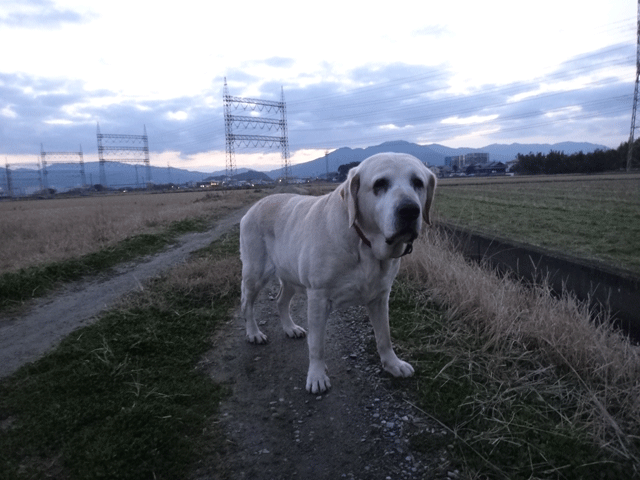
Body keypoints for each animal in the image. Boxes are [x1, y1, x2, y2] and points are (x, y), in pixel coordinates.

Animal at [240, 153, 436, 394]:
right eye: (380, 184)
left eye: (418, 183)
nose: (409, 210)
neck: (365, 245)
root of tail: (255, 206)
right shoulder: (318, 297)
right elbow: (317, 344)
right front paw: (316, 376)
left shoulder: (380, 297)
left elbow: (384, 336)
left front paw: (393, 364)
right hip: (255, 273)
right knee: (246, 304)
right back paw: (253, 333)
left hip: (290, 276)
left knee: (280, 301)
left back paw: (290, 328)